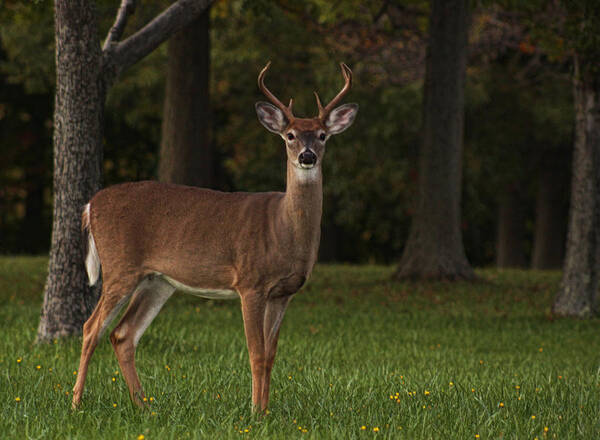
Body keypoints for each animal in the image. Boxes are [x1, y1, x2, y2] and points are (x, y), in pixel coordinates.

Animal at [72, 61, 358, 412]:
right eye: (290, 135)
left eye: (321, 135)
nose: (307, 156)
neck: (283, 229)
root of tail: (90, 205)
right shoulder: (250, 283)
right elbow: (256, 353)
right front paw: (255, 412)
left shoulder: (284, 293)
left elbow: (271, 355)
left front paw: (266, 411)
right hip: (120, 266)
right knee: (91, 328)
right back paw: (76, 403)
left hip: (157, 281)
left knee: (123, 334)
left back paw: (144, 406)